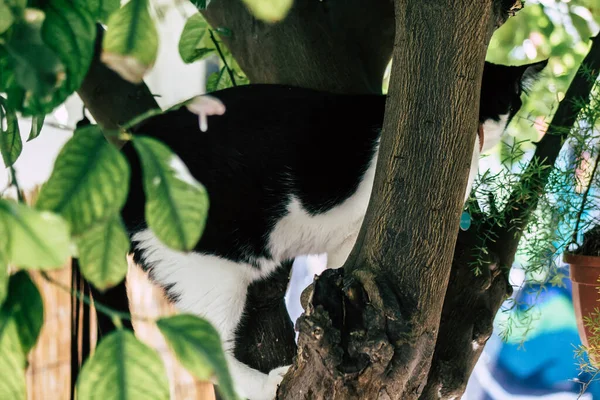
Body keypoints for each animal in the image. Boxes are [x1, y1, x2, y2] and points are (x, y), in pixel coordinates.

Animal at [122, 60, 548, 400]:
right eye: (513, 104)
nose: (510, 120)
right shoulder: (355, 233)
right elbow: (348, 270)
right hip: (211, 271)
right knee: (206, 353)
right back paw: (264, 384)